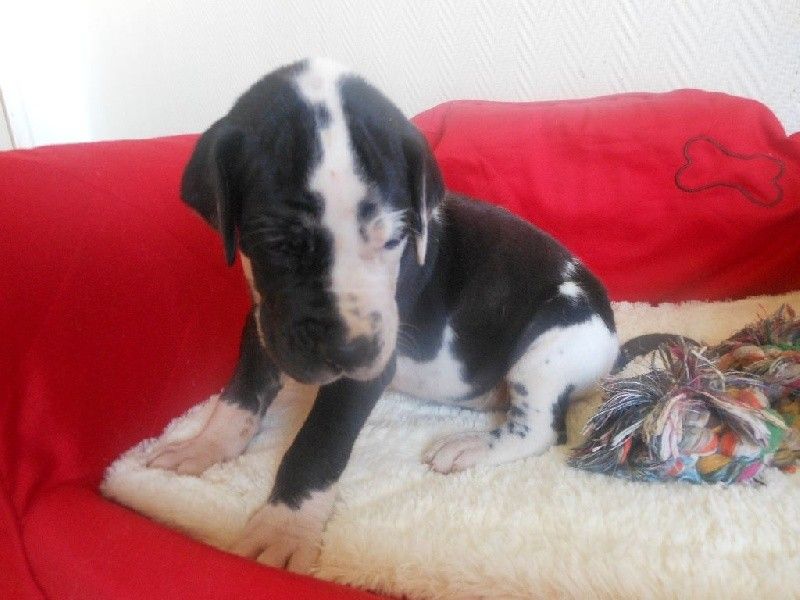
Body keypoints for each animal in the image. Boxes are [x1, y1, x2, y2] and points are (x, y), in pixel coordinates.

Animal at [148, 58, 620, 572]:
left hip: (555, 342)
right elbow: (240, 396)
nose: (350, 349)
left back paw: (471, 445)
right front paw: (205, 447)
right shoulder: (265, 321)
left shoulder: (366, 367)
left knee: (541, 429)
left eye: (394, 239)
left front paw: (283, 527)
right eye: (277, 244)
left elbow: (318, 443)